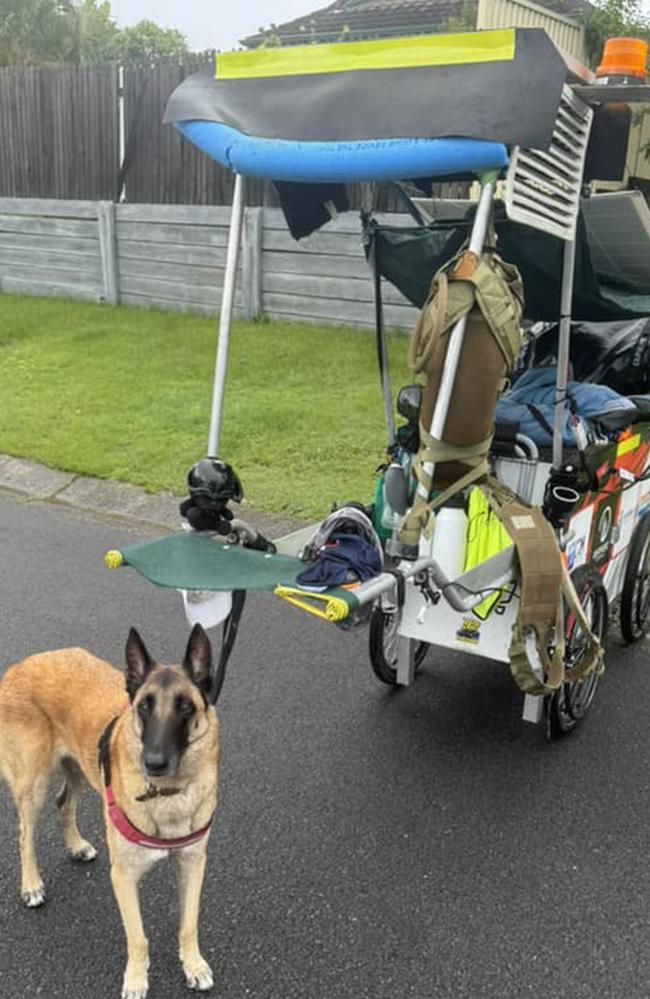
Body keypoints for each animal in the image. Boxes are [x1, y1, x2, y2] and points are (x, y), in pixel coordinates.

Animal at [0, 628, 219, 996]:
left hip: (78, 770)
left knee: (63, 803)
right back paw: (31, 885)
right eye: (143, 706)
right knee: (24, 835)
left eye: (186, 706)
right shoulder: (124, 877)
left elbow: (188, 924)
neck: (167, 795)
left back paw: (76, 846)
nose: (153, 763)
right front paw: (136, 980)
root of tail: (20, 665)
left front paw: (193, 965)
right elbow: (138, 937)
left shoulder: (192, 864)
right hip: (33, 785)